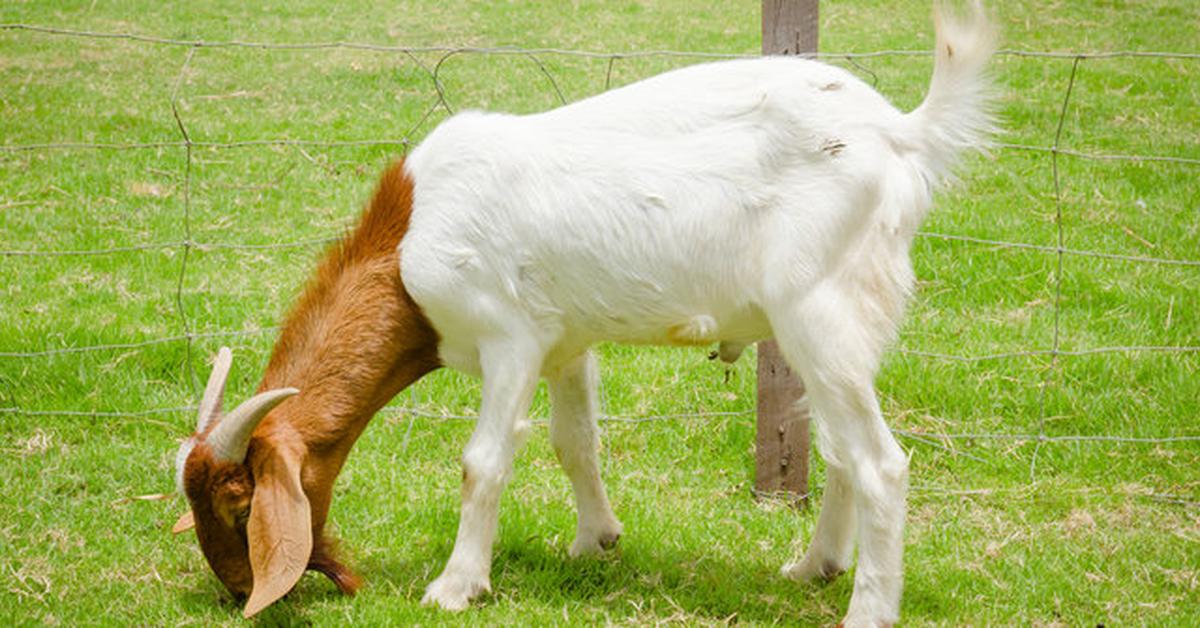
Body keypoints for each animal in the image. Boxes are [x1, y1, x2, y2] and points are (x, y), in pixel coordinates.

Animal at [169, 3, 993, 624]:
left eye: (240, 502)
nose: (238, 589)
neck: (407, 237)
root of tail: (901, 132)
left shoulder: (508, 338)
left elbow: (484, 461)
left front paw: (455, 586)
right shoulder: (565, 343)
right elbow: (575, 444)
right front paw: (594, 541)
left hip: (817, 308)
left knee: (880, 462)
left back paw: (866, 609)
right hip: (832, 327)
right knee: (843, 451)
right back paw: (813, 566)